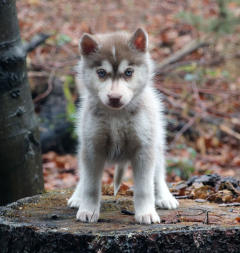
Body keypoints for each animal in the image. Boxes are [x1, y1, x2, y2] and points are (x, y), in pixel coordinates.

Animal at [67, 28, 178, 224]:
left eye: (128, 72)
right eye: (101, 73)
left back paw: (165, 197)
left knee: (158, 173)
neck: (116, 116)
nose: (114, 98)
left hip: (156, 142)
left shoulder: (144, 148)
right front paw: (87, 210)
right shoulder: (92, 147)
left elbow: (144, 188)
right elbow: (91, 185)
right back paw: (77, 197)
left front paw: (146, 213)